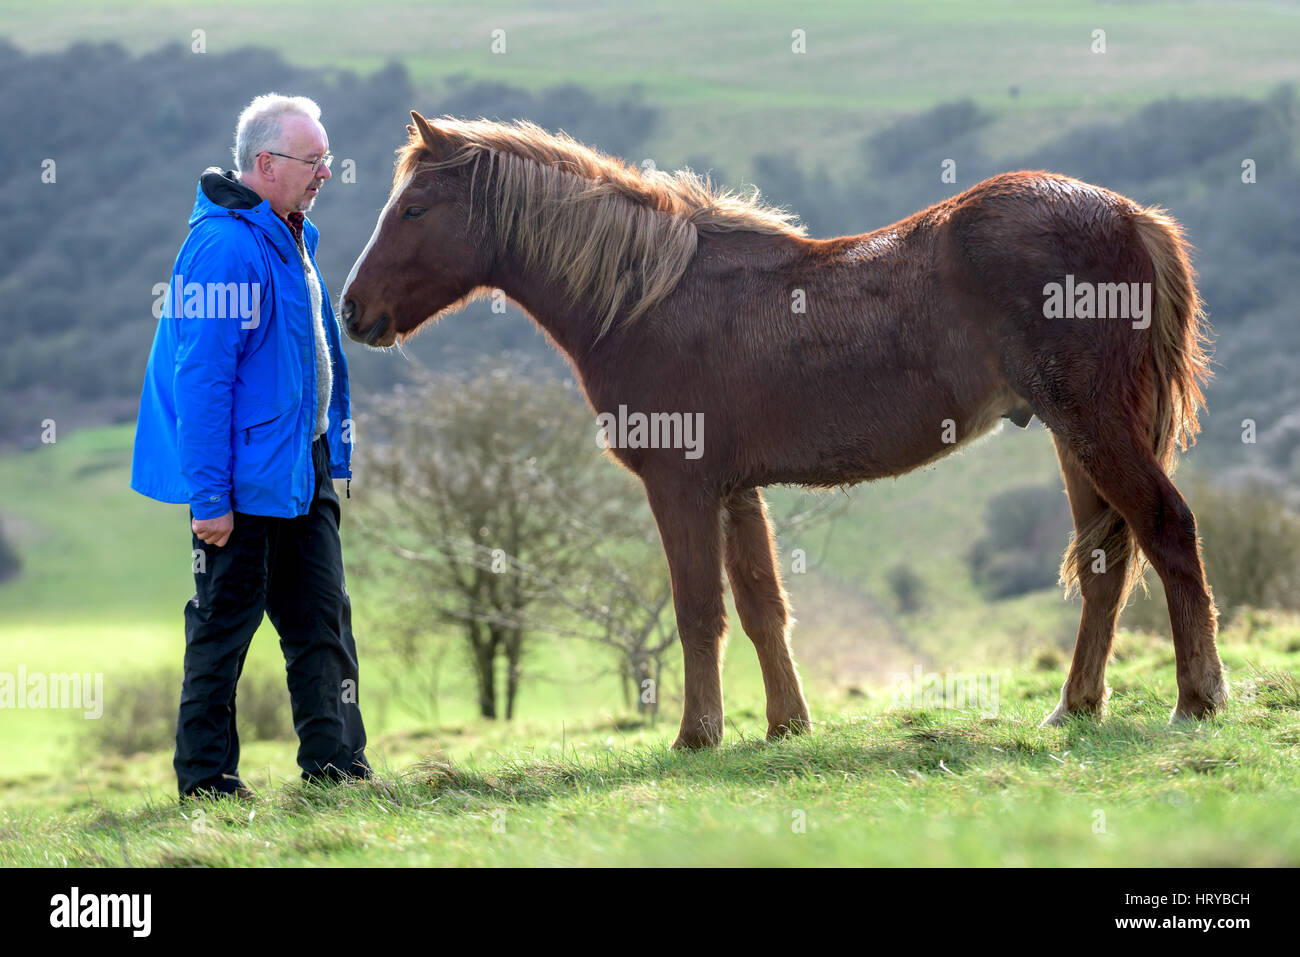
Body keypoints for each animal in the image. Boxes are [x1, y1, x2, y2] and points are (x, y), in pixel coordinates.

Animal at [340, 108, 1222, 743]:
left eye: (413, 207)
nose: (352, 312)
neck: (647, 298)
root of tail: (1131, 216)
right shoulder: (736, 491)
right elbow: (763, 606)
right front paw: (786, 724)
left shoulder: (683, 487)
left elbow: (699, 608)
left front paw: (696, 736)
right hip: (1075, 438)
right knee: (1108, 563)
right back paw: (1075, 706)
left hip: (1095, 425)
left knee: (1167, 528)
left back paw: (1197, 700)